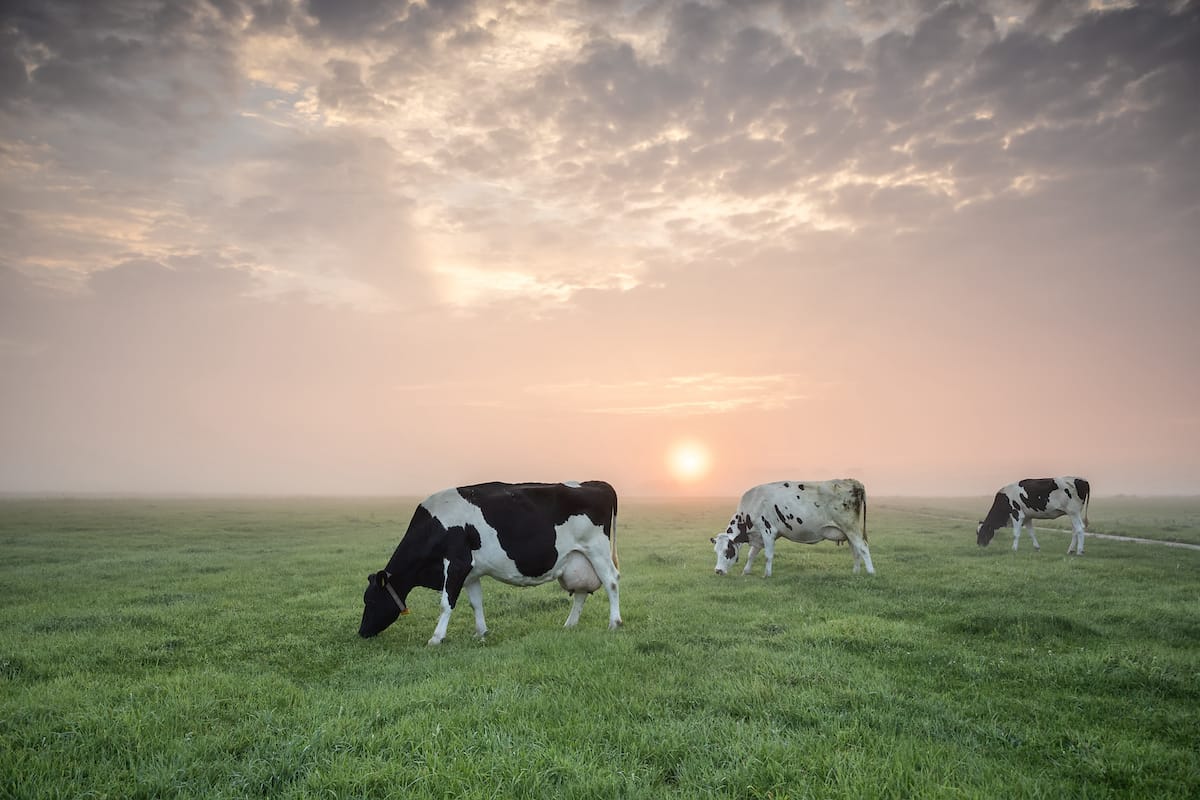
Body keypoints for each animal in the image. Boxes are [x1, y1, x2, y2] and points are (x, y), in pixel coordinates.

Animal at [352, 482, 619, 642]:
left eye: (370, 600)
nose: (362, 632)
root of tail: (597, 484)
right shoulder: (471, 572)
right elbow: (475, 603)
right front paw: (480, 632)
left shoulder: (456, 563)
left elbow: (446, 603)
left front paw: (436, 638)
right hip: (577, 558)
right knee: (582, 591)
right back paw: (569, 625)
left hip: (597, 550)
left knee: (612, 581)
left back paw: (614, 622)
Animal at [705, 479, 878, 578]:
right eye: (716, 551)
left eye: (728, 551)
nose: (718, 571)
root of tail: (853, 482)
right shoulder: (758, 536)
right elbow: (751, 555)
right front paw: (746, 571)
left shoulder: (767, 531)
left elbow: (768, 555)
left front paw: (767, 575)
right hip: (847, 531)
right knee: (855, 550)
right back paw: (855, 573)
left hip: (850, 526)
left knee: (863, 547)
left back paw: (871, 572)